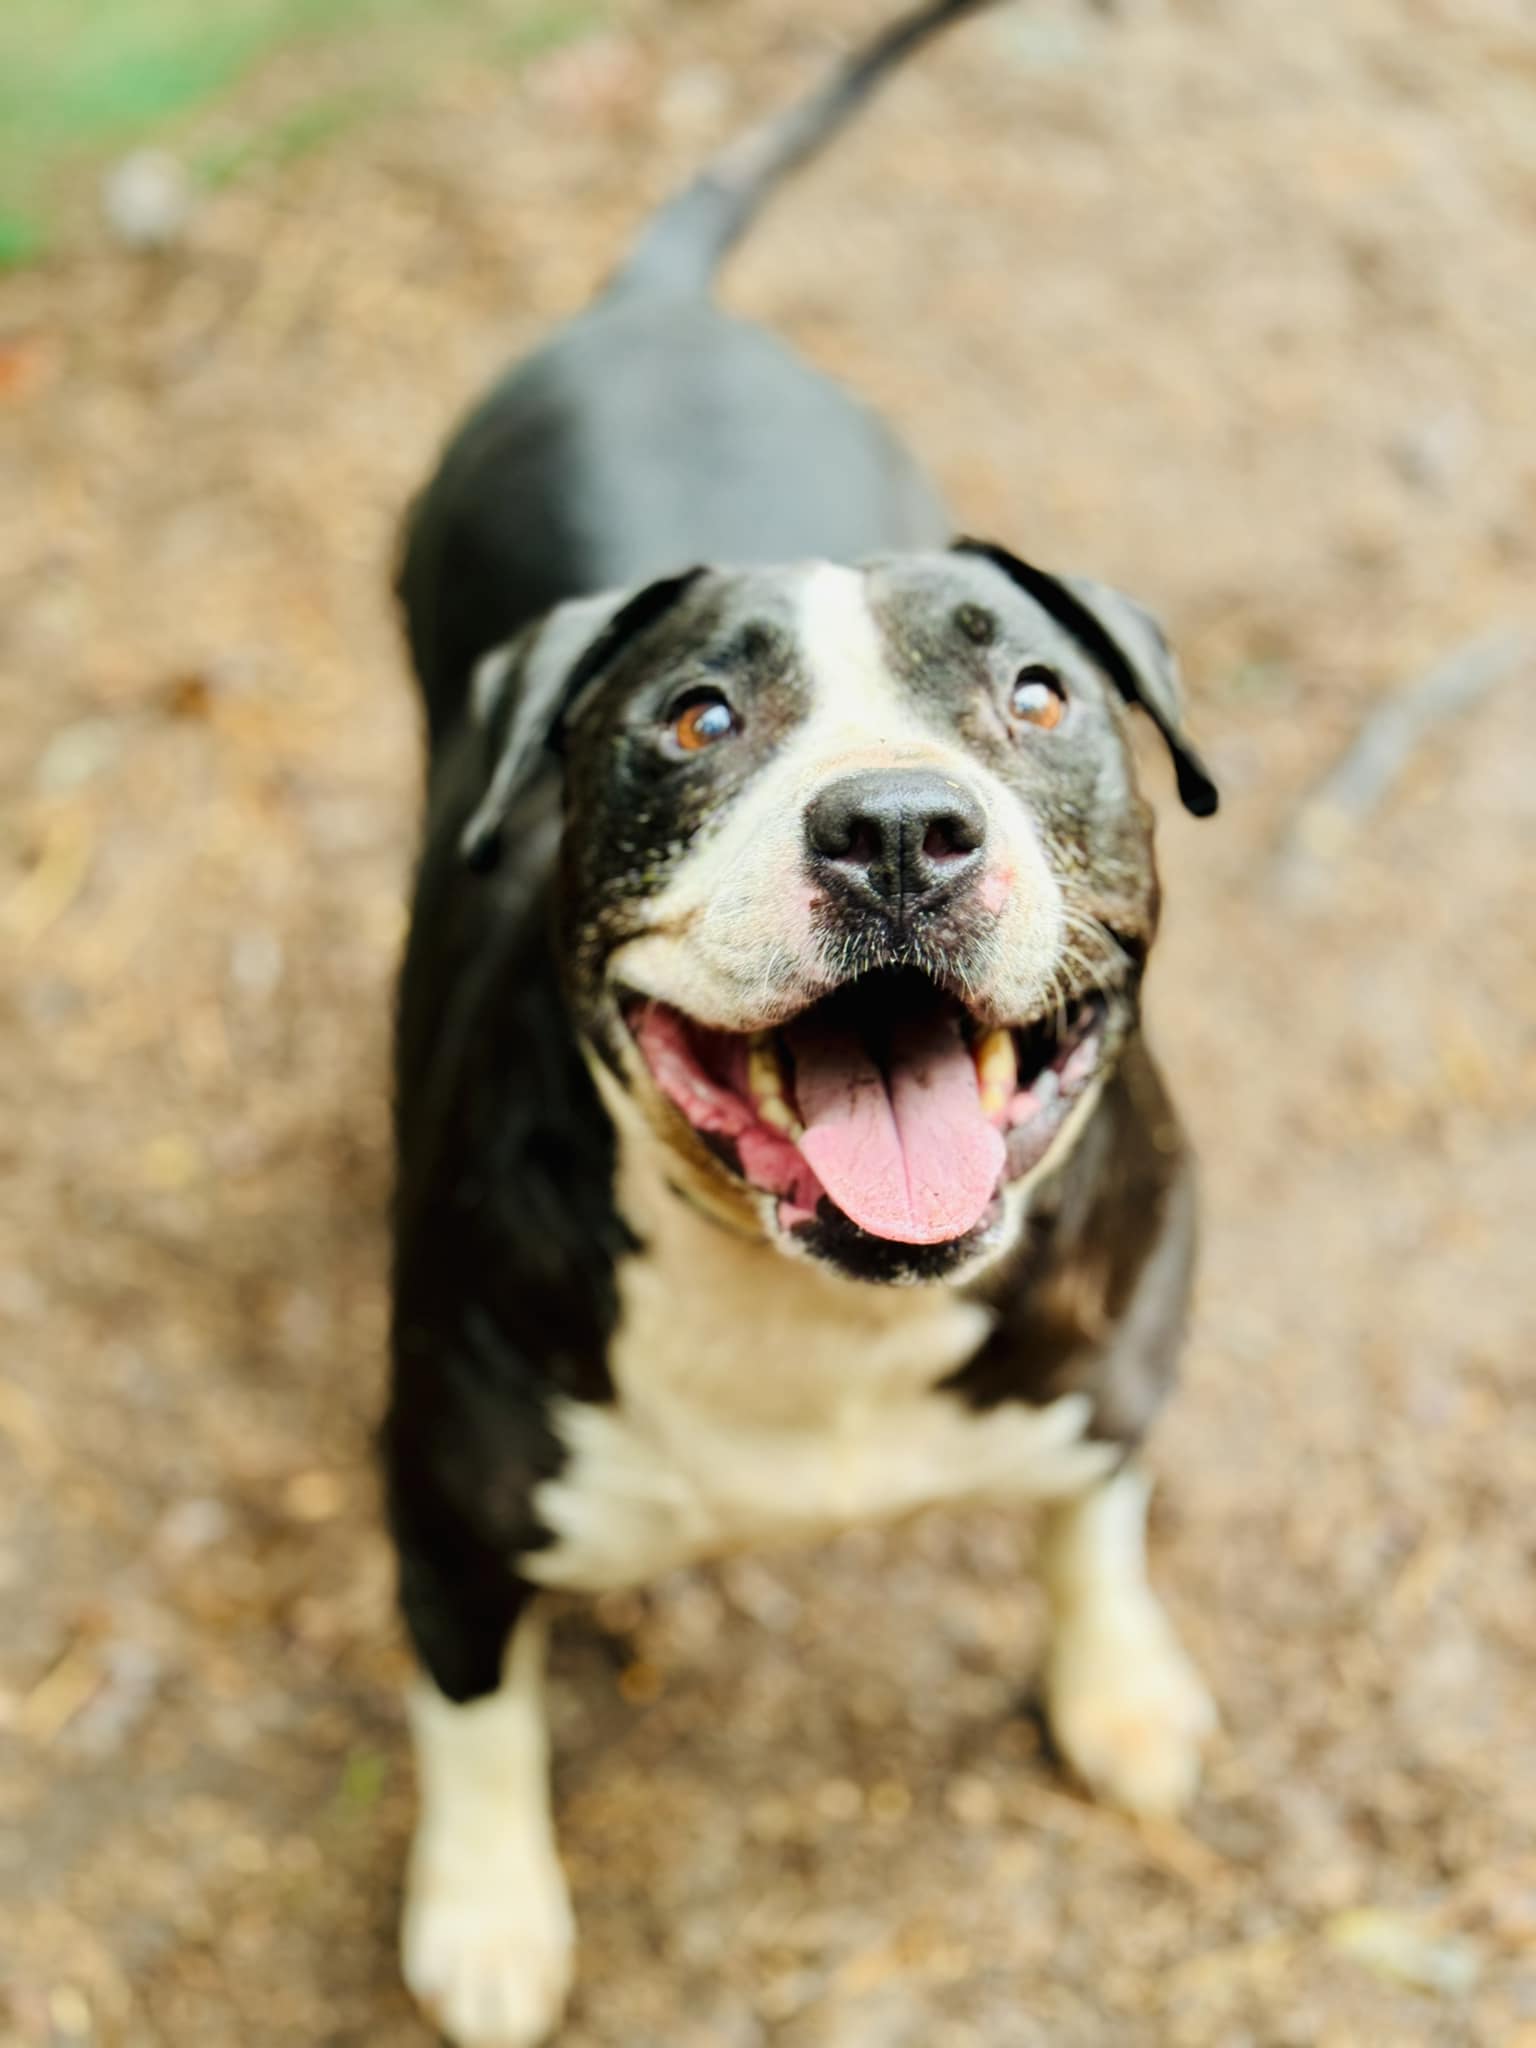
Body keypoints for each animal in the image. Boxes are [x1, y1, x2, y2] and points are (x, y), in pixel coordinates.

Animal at [387, 8, 1228, 2039]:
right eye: (695, 719)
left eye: (1037, 694)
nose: (900, 826)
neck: (822, 1315)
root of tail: (650, 303)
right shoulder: (441, 1509)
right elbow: (474, 1716)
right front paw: (488, 1909)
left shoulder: (1124, 1347)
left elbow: (1094, 1515)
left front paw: (1120, 1686)